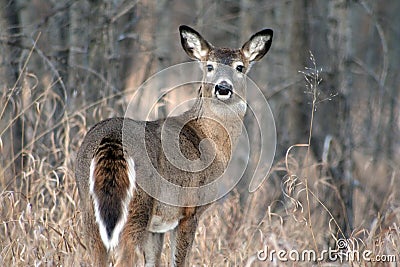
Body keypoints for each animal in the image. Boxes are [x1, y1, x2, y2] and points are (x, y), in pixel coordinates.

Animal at [76, 24, 272, 266]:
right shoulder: (190, 210)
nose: (223, 87)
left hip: (88, 207)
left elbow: (154, 261)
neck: (210, 142)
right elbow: (180, 260)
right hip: (137, 207)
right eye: (209, 66)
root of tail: (112, 139)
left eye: (240, 67)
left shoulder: (157, 227)